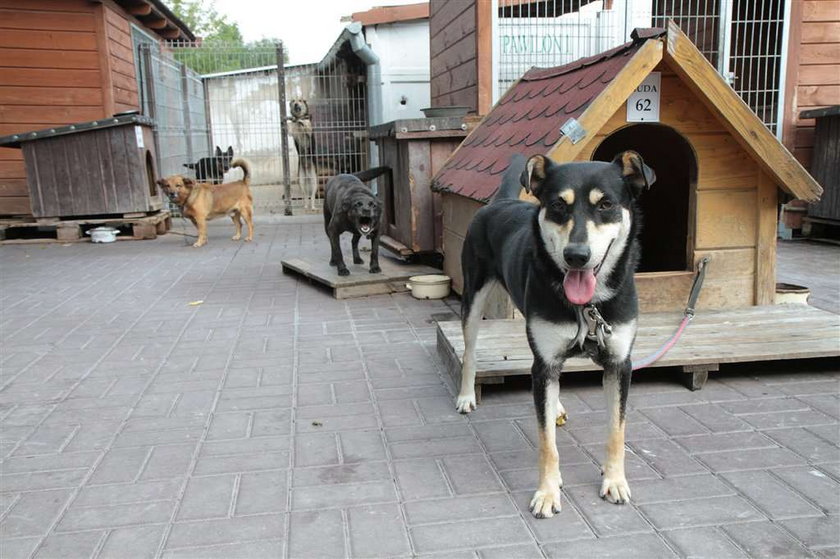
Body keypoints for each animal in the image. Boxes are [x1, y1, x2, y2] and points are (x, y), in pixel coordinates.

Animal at [456, 151, 652, 520]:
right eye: (559, 205)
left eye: (606, 204)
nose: (577, 256)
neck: (588, 306)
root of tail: (500, 202)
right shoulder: (544, 363)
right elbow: (547, 443)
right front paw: (548, 492)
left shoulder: (619, 364)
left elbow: (616, 431)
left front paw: (615, 481)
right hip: (473, 298)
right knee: (469, 352)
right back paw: (465, 395)